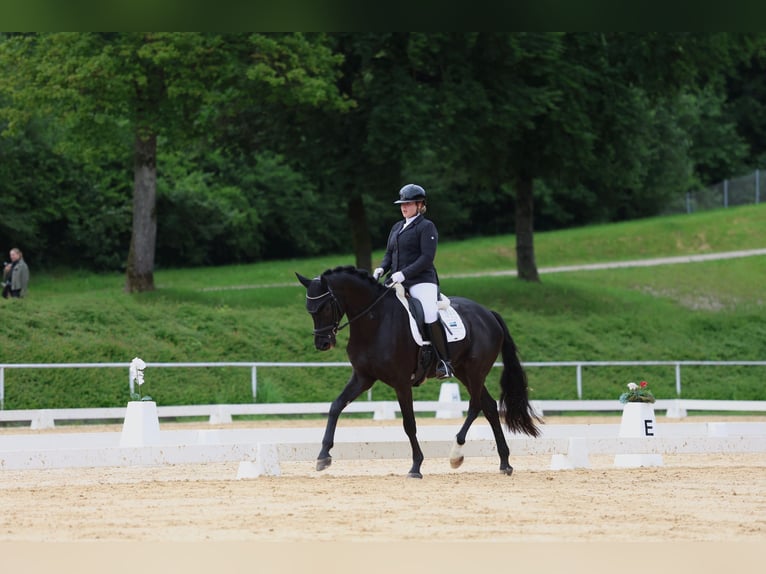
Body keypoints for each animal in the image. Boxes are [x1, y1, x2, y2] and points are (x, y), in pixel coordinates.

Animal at [295, 265, 541, 478]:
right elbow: (335, 406)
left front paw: (416, 466)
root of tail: (488, 313)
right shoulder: (363, 378)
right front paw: (323, 456)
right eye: (309, 310)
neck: (374, 321)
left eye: (326, 307)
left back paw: (456, 455)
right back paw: (504, 462)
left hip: (475, 371)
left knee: (476, 405)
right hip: (463, 370)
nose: (323, 344)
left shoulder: (401, 382)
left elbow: (409, 423)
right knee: (488, 406)